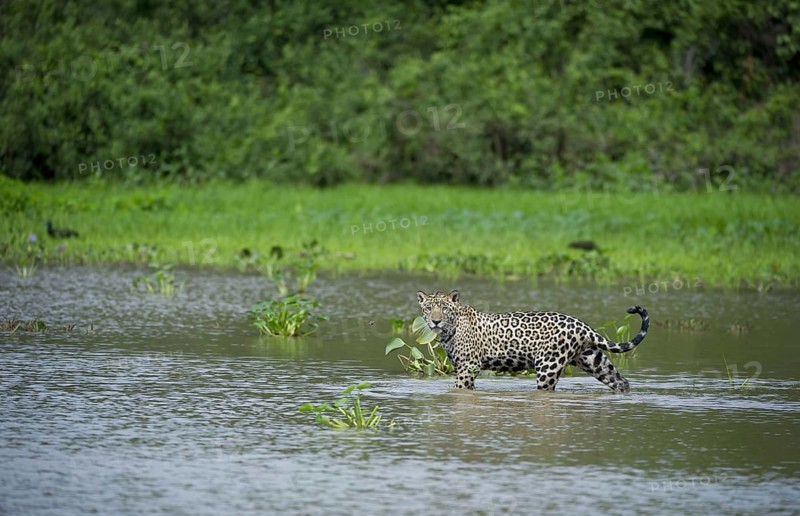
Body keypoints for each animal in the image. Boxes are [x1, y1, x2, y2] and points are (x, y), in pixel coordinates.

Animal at [416, 290, 650, 392]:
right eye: (428, 308)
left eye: (444, 309)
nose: (435, 321)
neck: (450, 329)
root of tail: (582, 326)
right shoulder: (462, 367)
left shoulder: (468, 367)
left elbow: (458, 388)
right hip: (594, 360)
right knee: (620, 381)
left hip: (548, 367)